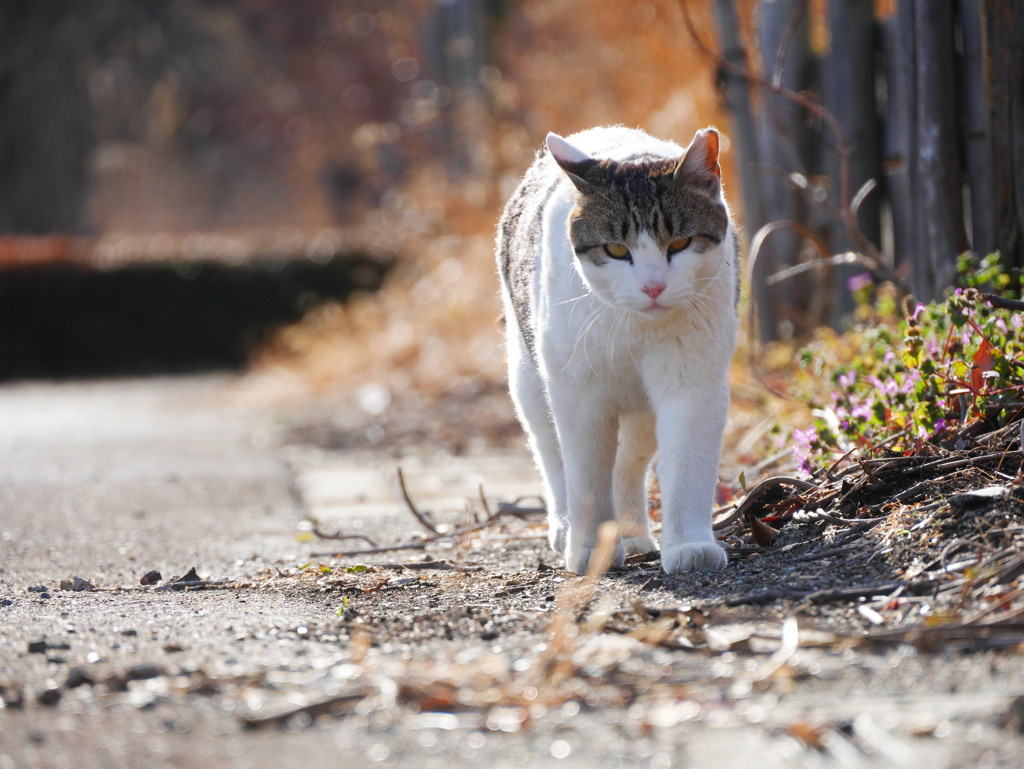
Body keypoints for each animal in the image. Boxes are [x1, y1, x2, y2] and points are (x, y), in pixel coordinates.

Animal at [495, 124, 737, 573]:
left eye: (680, 243)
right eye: (617, 249)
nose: (653, 286)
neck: (635, 327)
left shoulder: (693, 382)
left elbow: (687, 462)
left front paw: (689, 544)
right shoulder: (577, 394)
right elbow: (586, 474)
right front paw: (589, 549)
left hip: (640, 409)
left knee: (628, 463)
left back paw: (632, 534)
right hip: (529, 380)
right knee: (552, 455)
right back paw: (565, 527)